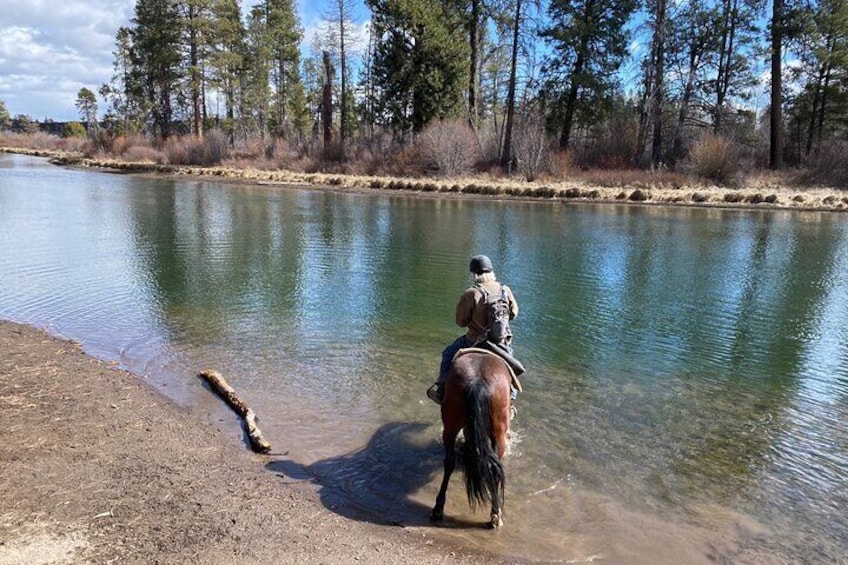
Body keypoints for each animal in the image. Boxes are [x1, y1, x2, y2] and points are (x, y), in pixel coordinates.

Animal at [430, 348, 510, 528]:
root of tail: (477, 381)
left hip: (451, 423)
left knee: (450, 462)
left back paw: (439, 508)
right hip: (499, 433)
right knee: (494, 467)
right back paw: (496, 514)